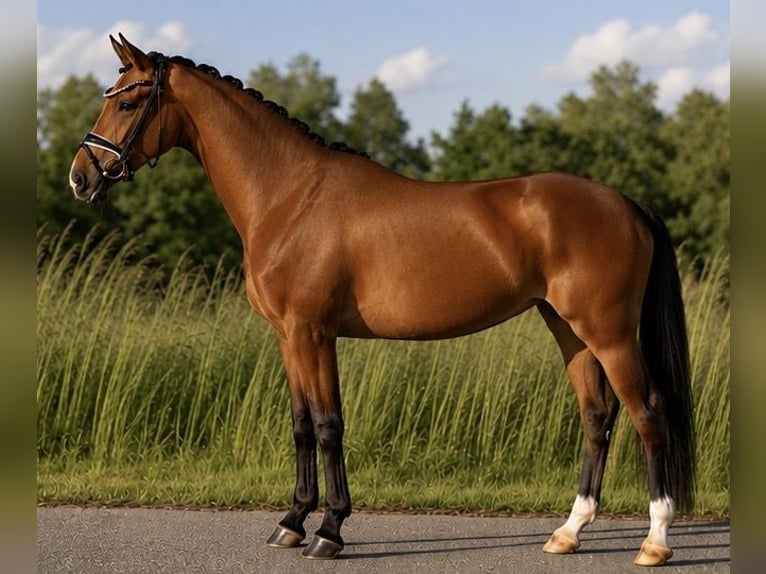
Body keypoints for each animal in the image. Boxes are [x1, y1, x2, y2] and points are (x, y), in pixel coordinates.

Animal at [68, 35, 695, 566]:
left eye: (128, 103)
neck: (290, 196)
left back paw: (655, 542)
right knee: (597, 415)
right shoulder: (288, 336)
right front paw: (291, 522)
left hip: (610, 332)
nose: (80, 177)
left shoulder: (313, 332)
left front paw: (329, 531)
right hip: (569, 328)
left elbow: (328, 425)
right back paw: (568, 532)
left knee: (648, 412)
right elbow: (300, 423)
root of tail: (625, 202)